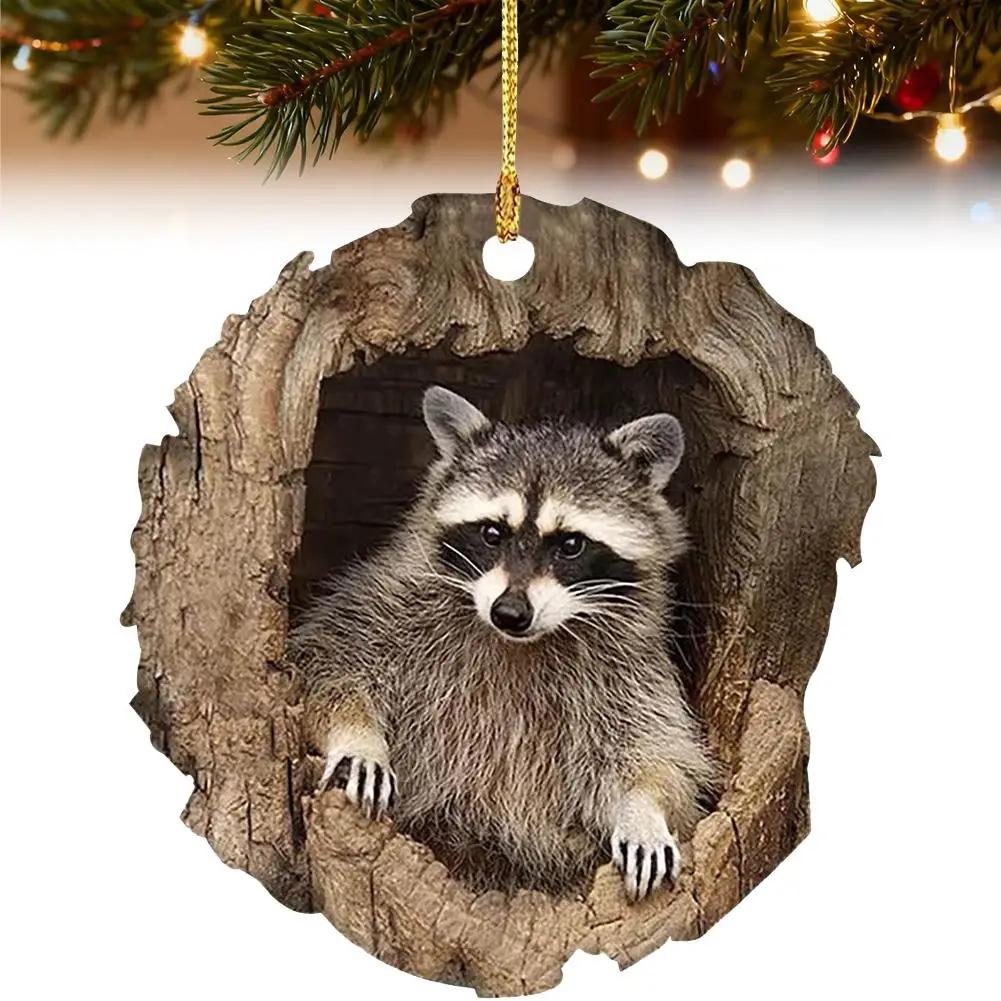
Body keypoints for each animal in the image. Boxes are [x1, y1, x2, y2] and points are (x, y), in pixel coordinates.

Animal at [290, 386, 718, 901]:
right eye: (493, 532)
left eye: (570, 544)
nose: (509, 613)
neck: (519, 642)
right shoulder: (391, 601)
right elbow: (329, 660)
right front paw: (359, 736)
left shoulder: (631, 666)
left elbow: (653, 749)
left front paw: (644, 809)